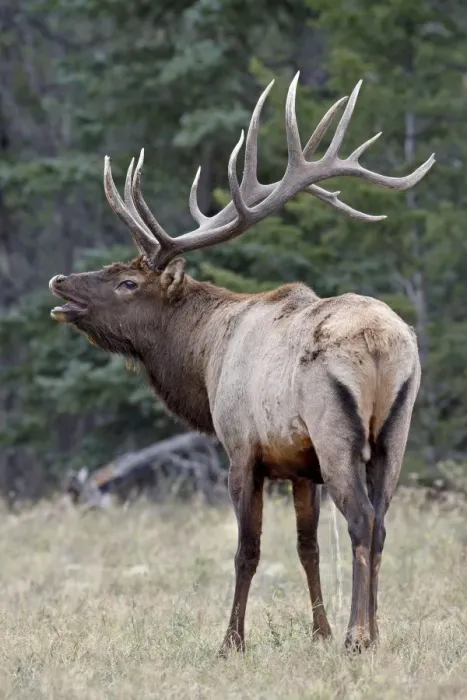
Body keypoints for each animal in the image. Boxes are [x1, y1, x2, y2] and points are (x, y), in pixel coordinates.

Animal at [49, 73, 434, 654]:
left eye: (128, 282)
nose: (60, 282)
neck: (205, 358)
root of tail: (383, 344)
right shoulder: (299, 464)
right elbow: (306, 546)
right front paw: (317, 632)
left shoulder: (241, 449)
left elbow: (246, 550)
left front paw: (232, 640)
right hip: (396, 429)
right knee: (383, 521)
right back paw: (374, 632)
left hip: (336, 429)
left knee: (362, 520)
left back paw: (358, 637)